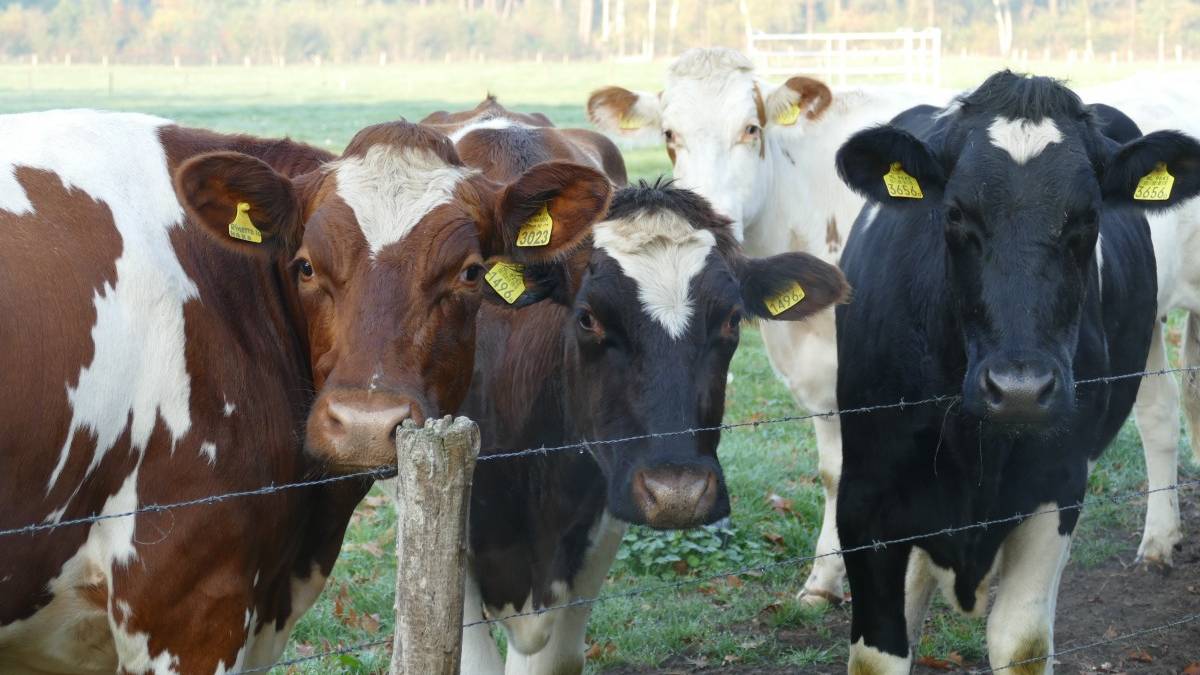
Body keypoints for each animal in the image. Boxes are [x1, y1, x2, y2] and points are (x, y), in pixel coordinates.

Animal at [830, 69, 1200, 672]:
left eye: (1088, 217)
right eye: (954, 213)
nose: (1021, 390)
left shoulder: (1057, 485)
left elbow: (1021, 642)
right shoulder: (864, 502)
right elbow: (880, 651)